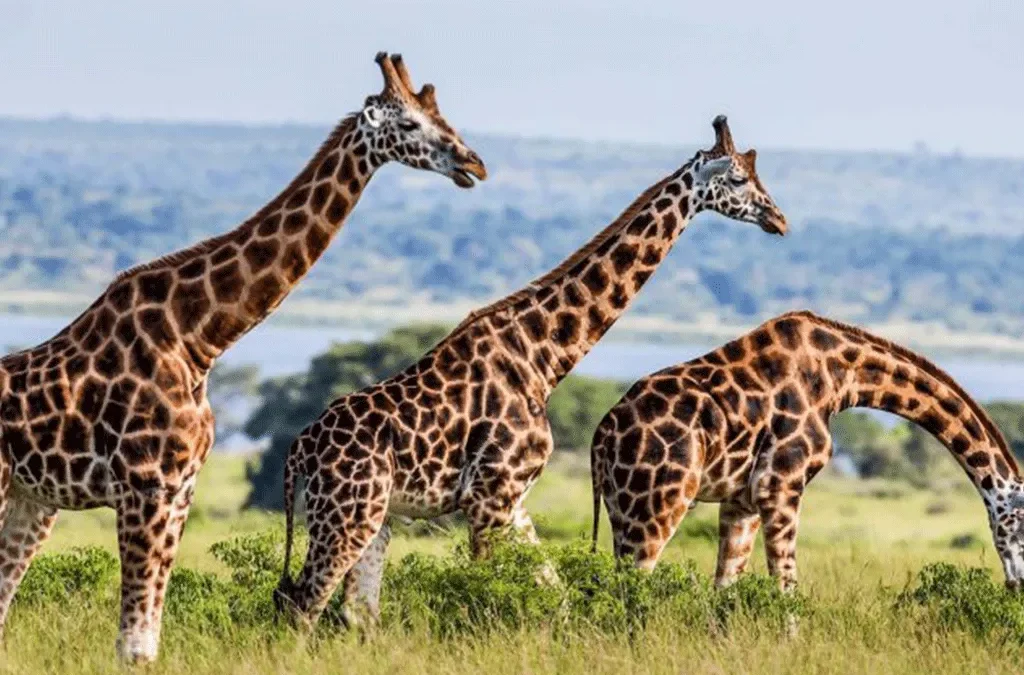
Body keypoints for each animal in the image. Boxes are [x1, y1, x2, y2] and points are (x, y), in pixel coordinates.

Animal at [0, 52, 486, 664]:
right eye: (411, 123)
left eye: (441, 115)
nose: (474, 163)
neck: (198, 338)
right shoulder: (146, 486)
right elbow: (134, 644)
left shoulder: (179, 490)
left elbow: (147, 636)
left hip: (30, 501)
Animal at [274, 115, 788, 628]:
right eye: (739, 179)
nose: (778, 219)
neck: (542, 359)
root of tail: (298, 451)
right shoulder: (487, 497)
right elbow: (480, 589)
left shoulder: (514, 500)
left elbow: (555, 592)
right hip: (346, 512)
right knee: (303, 602)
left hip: (373, 516)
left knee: (354, 610)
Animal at [590, 310, 1024, 592]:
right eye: (1020, 526)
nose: (1017, 585)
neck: (841, 378)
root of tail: (602, 435)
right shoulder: (780, 487)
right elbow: (786, 588)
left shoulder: (742, 501)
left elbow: (725, 590)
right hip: (659, 504)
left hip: (621, 509)